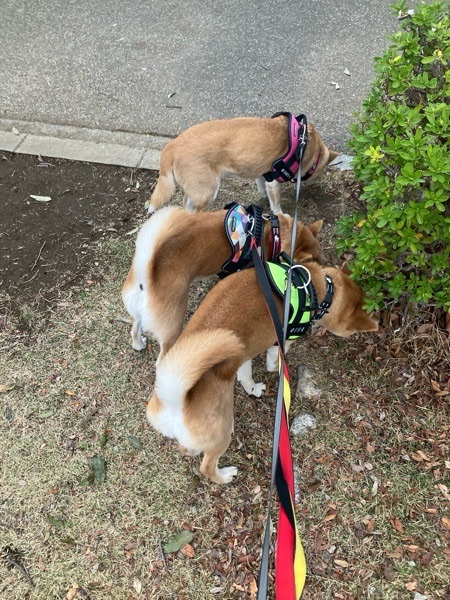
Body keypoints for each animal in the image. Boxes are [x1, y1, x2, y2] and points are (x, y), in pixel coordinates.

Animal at [122, 205, 324, 395]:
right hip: (173, 327)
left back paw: (139, 344)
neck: (271, 232)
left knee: (135, 328)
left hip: (138, 313)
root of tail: (146, 276)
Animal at [146, 261, 379, 484]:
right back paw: (224, 476)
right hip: (220, 434)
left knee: (186, 449)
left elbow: (245, 376)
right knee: (207, 466)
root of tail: (174, 399)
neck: (311, 286)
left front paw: (253, 388)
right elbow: (272, 362)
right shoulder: (280, 343)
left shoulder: (242, 356)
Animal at [147, 114, 338, 215]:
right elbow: (276, 205)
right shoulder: (274, 181)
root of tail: (173, 145)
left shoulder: (263, 173)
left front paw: (262, 195)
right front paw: (280, 214)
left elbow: (261, 185)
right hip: (208, 191)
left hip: (197, 190)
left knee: (187, 203)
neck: (303, 142)